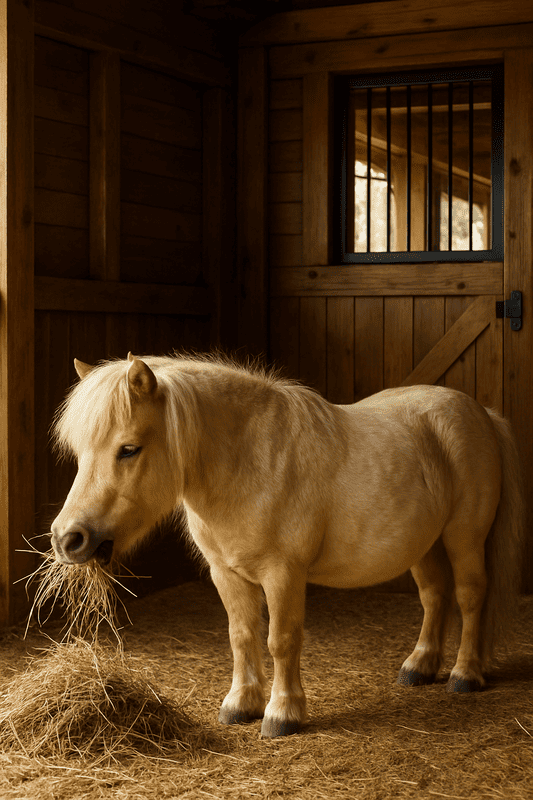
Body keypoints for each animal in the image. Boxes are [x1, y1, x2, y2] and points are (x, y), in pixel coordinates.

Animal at [50, 352, 524, 738]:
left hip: (463, 537)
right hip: (424, 545)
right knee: (434, 596)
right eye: (81, 451)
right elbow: (241, 635)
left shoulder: (283, 574)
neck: (248, 463)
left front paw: (282, 713)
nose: (68, 539)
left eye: (129, 449)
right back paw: (419, 666)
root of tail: (482, 413)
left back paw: (464, 674)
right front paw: (240, 705)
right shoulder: (227, 574)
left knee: (469, 596)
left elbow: (281, 639)